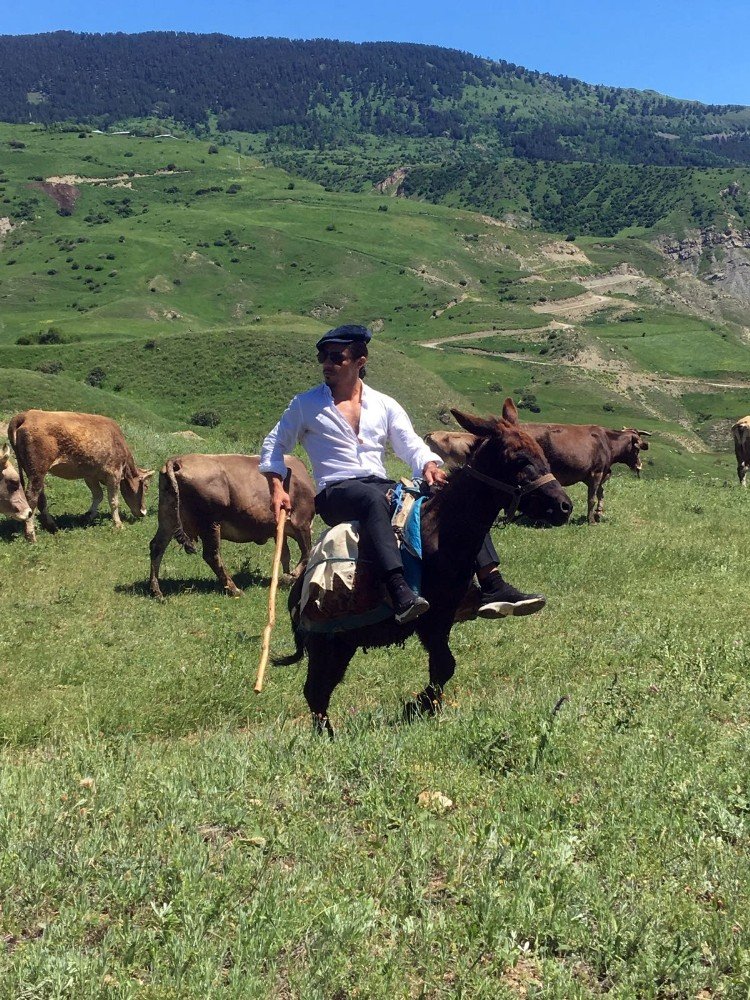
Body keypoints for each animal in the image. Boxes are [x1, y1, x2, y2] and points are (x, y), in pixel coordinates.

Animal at [8, 408, 154, 544]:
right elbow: (113, 501)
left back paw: (52, 526)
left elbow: (98, 495)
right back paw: (31, 536)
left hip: (31, 470)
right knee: (31, 497)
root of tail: (26, 415)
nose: (144, 512)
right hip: (37, 470)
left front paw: (88, 516)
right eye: (146, 487)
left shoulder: (90, 475)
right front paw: (118, 524)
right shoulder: (114, 473)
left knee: (41, 498)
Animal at [148, 458, 316, 596]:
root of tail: (177, 460)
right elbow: (307, 553)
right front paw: (291, 577)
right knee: (212, 555)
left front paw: (285, 577)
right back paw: (234, 589)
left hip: (168, 517)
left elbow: (284, 554)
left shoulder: (280, 530)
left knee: (157, 546)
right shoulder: (302, 522)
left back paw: (156, 591)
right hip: (210, 522)